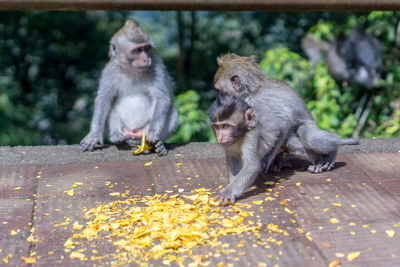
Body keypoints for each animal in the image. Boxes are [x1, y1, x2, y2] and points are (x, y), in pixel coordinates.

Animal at [79, 19, 177, 156]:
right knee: (110, 108)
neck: (132, 71)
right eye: (137, 50)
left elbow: (162, 97)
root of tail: (134, 134)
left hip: (143, 131)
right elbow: (104, 98)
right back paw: (117, 136)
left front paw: (153, 133)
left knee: (172, 111)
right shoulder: (110, 71)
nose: (146, 59)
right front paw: (93, 135)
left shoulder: (157, 67)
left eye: (146, 48)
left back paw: (158, 144)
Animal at [214, 53, 358, 177]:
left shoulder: (259, 105)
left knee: (308, 138)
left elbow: (282, 123)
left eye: (221, 92)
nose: (219, 101)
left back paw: (330, 154)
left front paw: (267, 158)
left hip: (309, 124)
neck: (248, 93)